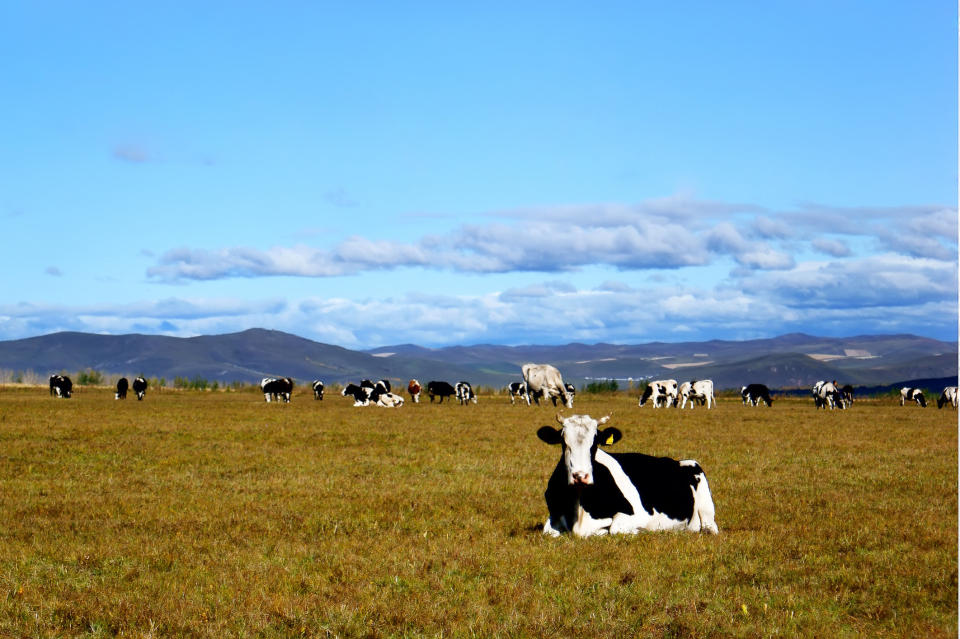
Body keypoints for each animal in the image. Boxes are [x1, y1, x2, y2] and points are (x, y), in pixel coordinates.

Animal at [536, 412, 716, 536]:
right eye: (563, 441)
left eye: (595, 443)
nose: (580, 476)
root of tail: (675, 460)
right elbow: (547, 530)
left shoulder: (640, 516)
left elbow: (614, 528)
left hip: (707, 511)